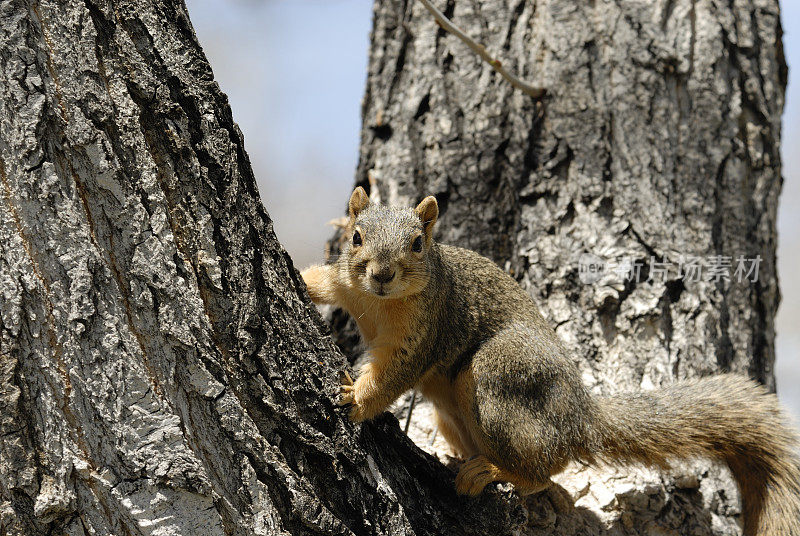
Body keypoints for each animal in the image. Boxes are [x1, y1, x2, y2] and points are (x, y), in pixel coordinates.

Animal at [300, 187, 800, 536]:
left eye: (418, 244)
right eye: (356, 236)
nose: (382, 274)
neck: (378, 303)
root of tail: (580, 414)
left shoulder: (425, 329)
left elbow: (393, 374)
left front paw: (356, 401)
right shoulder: (347, 284)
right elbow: (322, 281)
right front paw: (302, 283)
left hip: (499, 374)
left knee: (545, 466)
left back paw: (495, 471)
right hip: (453, 415)